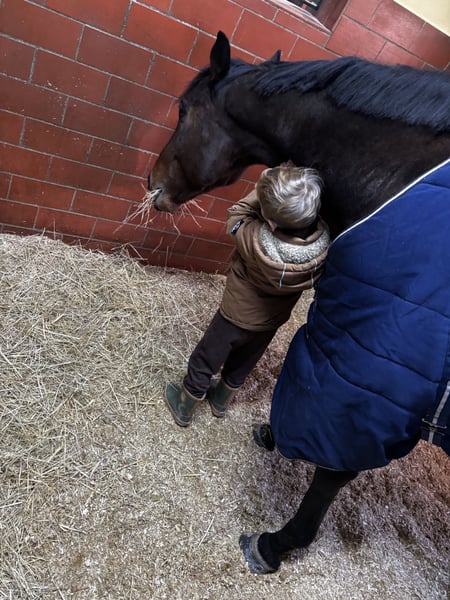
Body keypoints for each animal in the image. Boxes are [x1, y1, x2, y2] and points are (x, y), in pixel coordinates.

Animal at [149, 31, 450, 573]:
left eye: (183, 110)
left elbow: (332, 473)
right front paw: (272, 432)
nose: (151, 184)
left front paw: (275, 544)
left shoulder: (371, 382)